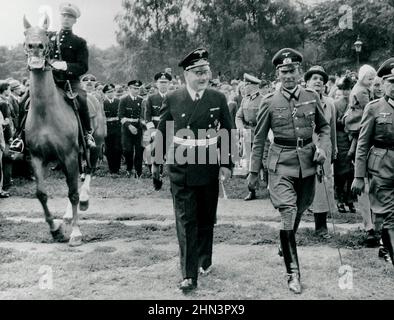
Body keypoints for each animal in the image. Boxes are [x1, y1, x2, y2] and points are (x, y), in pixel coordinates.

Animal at [23, 15, 92, 248]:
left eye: (46, 33)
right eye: (25, 33)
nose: (35, 46)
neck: (46, 112)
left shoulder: (70, 155)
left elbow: (73, 194)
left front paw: (76, 233)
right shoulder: (36, 157)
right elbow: (41, 194)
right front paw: (55, 230)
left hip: (91, 148)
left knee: (87, 173)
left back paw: (85, 200)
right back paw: (67, 217)